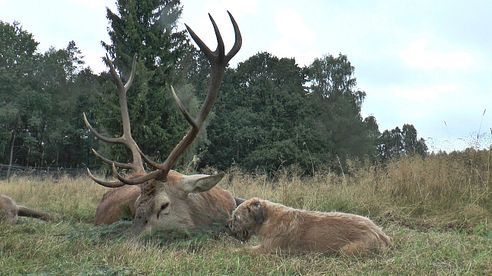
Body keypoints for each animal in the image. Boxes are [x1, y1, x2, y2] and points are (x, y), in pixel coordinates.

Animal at [227, 198, 392, 254]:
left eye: (236, 217)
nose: (227, 226)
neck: (268, 217)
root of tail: (381, 234)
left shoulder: (268, 250)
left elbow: (245, 250)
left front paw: (230, 251)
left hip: (347, 250)